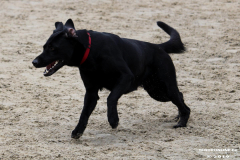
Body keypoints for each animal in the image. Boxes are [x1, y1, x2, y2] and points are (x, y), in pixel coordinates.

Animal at [31, 18, 190, 139]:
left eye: (52, 48)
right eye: (44, 46)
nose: (34, 62)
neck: (91, 51)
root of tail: (159, 47)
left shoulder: (126, 78)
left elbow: (111, 98)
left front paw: (113, 120)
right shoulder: (91, 92)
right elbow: (84, 113)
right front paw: (78, 131)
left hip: (164, 87)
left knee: (182, 102)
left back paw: (182, 123)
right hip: (156, 91)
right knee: (181, 96)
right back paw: (178, 116)